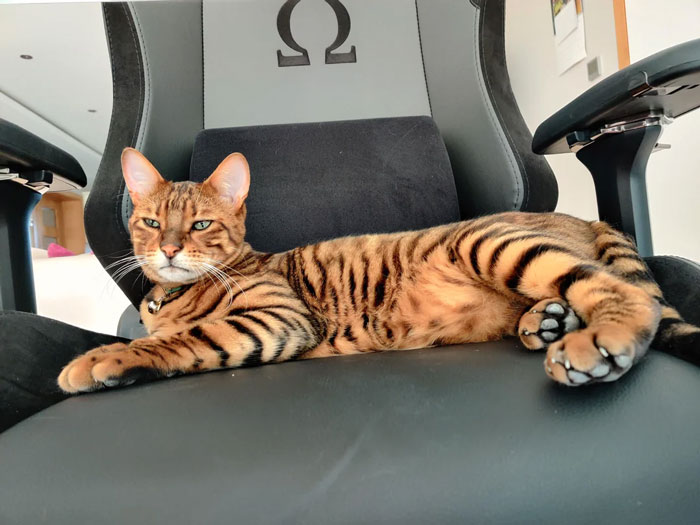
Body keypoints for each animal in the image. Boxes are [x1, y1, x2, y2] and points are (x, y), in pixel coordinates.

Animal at [56, 145, 700, 390]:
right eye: (149, 222)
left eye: (199, 226)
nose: (166, 251)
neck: (169, 298)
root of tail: (581, 217)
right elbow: (167, 337)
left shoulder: (279, 317)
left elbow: (180, 340)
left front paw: (103, 358)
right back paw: (546, 320)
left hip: (492, 243)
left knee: (627, 295)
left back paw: (595, 340)